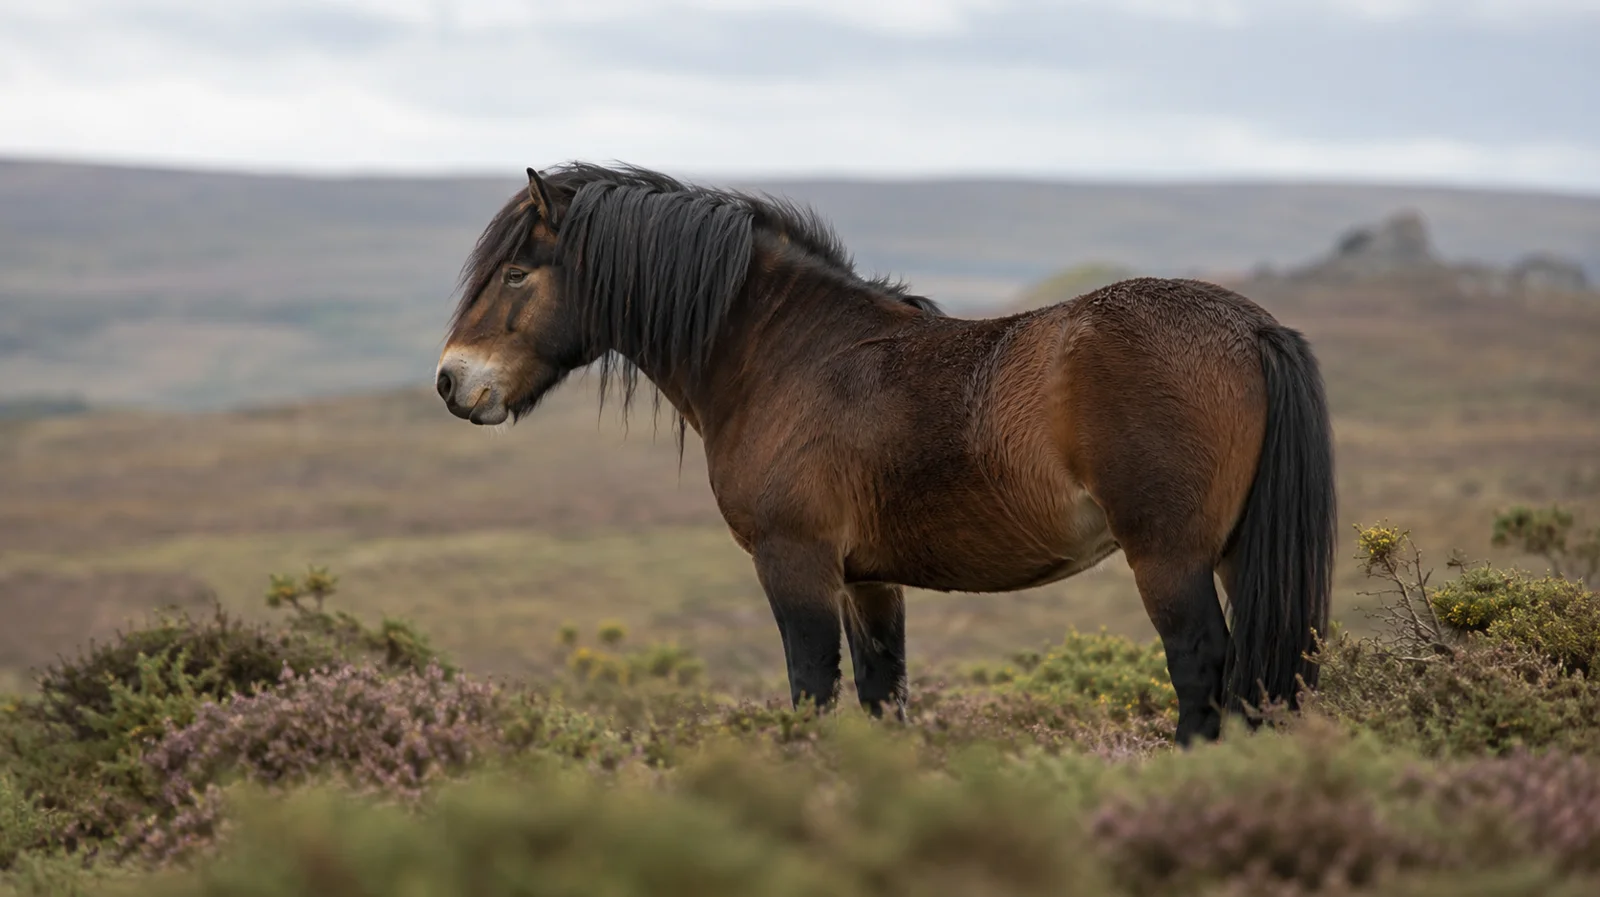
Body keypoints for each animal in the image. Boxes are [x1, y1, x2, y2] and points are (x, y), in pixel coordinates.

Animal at [434, 162, 1336, 745]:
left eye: (516, 273)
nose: (452, 381)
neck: (789, 352)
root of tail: (1250, 328)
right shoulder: (869, 581)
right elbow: (883, 697)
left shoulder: (795, 564)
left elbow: (810, 692)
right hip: (1235, 554)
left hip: (1169, 558)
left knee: (1202, 669)